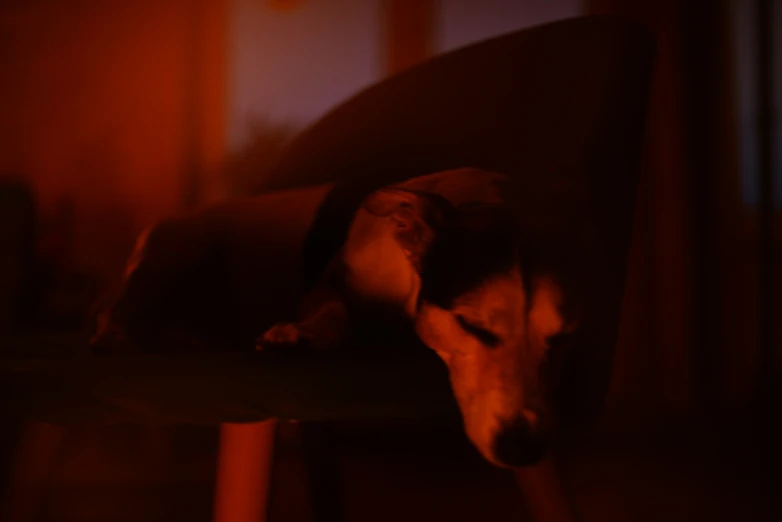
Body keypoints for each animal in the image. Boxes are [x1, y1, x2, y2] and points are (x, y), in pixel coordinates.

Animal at [254, 168, 584, 468]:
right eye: (471, 325)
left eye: (565, 336)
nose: (522, 449)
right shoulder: (329, 283)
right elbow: (334, 309)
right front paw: (303, 332)